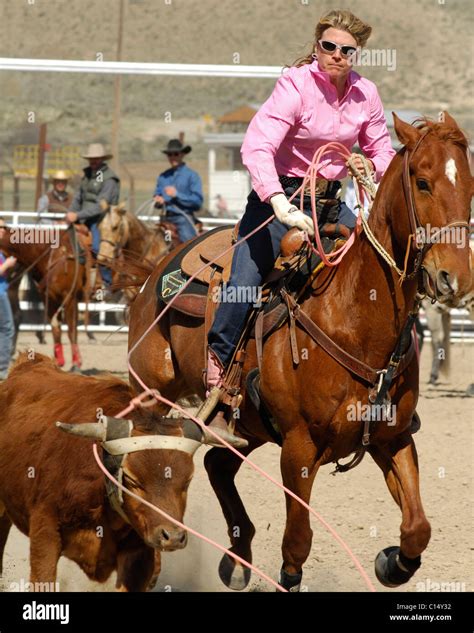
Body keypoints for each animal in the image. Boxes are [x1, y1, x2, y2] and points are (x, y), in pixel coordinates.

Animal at [0, 226, 87, 370]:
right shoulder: (49, 298)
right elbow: (56, 328)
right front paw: (58, 361)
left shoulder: (70, 297)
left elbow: (71, 329)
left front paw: (76, 364)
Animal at [125, 115, 470, 592]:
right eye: (422, 182)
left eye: (470, 185)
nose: (456, 277)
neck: (351, 318)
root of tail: (155, 270)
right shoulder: (299, 448)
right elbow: (297, 544)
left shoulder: (394, 436)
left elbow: (418, 527)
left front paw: (391, 562)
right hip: (154, 396)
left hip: (246, 425)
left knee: (216, 463)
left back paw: (237, 559)